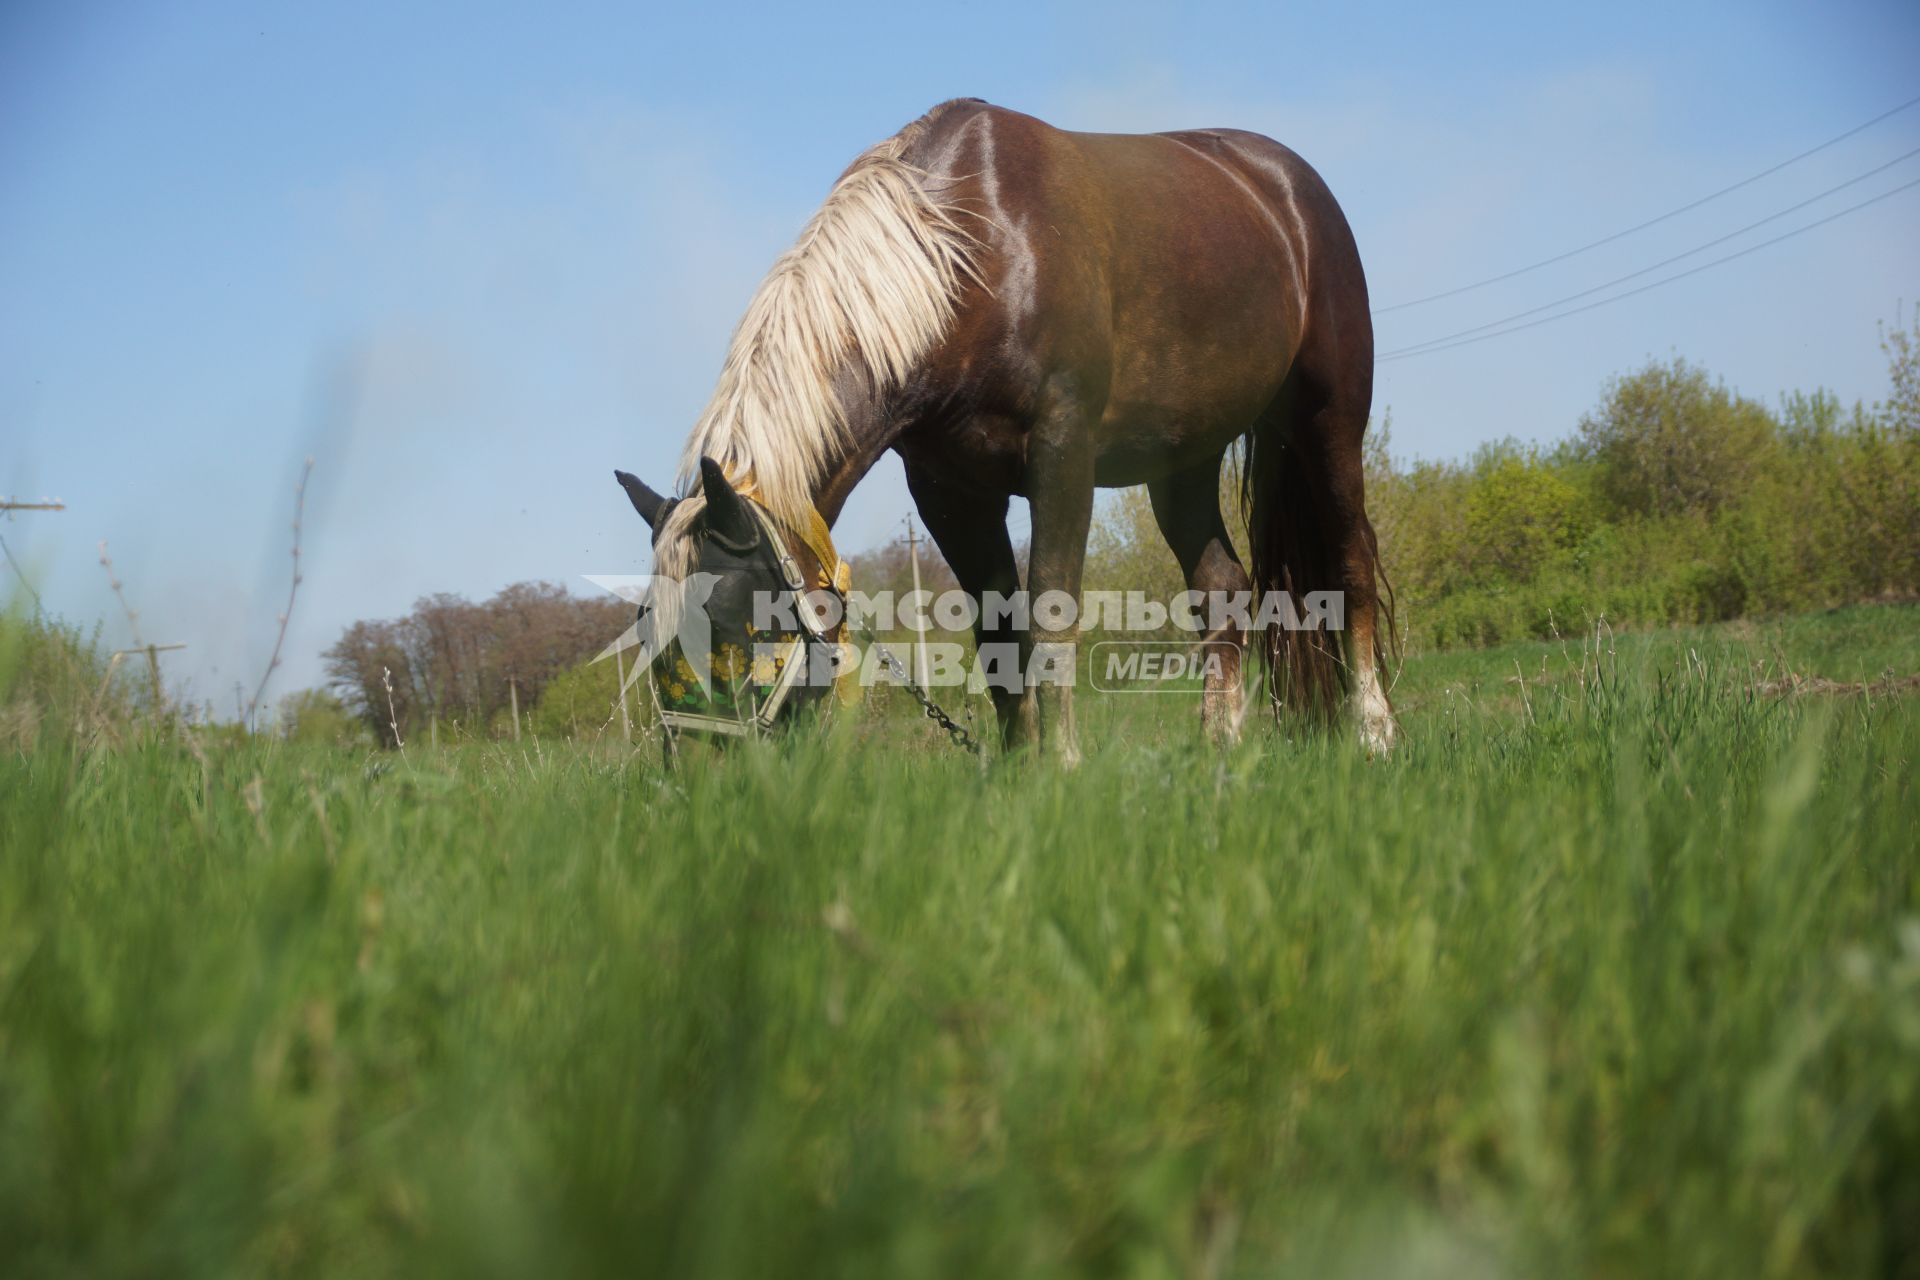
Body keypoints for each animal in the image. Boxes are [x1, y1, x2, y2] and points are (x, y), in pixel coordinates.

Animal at [614, 100, 1397, 767]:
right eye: (650, 630)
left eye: (738, 622)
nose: (703, 782)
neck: (970, 253)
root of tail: (1284, 186)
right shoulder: (950, 493)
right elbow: (997, 632)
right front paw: (1022, 774)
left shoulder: (1063, 456)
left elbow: (1051, 610)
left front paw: (1064, 767)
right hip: (1184, 461)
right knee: (1221, 588)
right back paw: (1219, 748)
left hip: (1330, 419)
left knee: (1352, 556)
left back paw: (1374, 730)